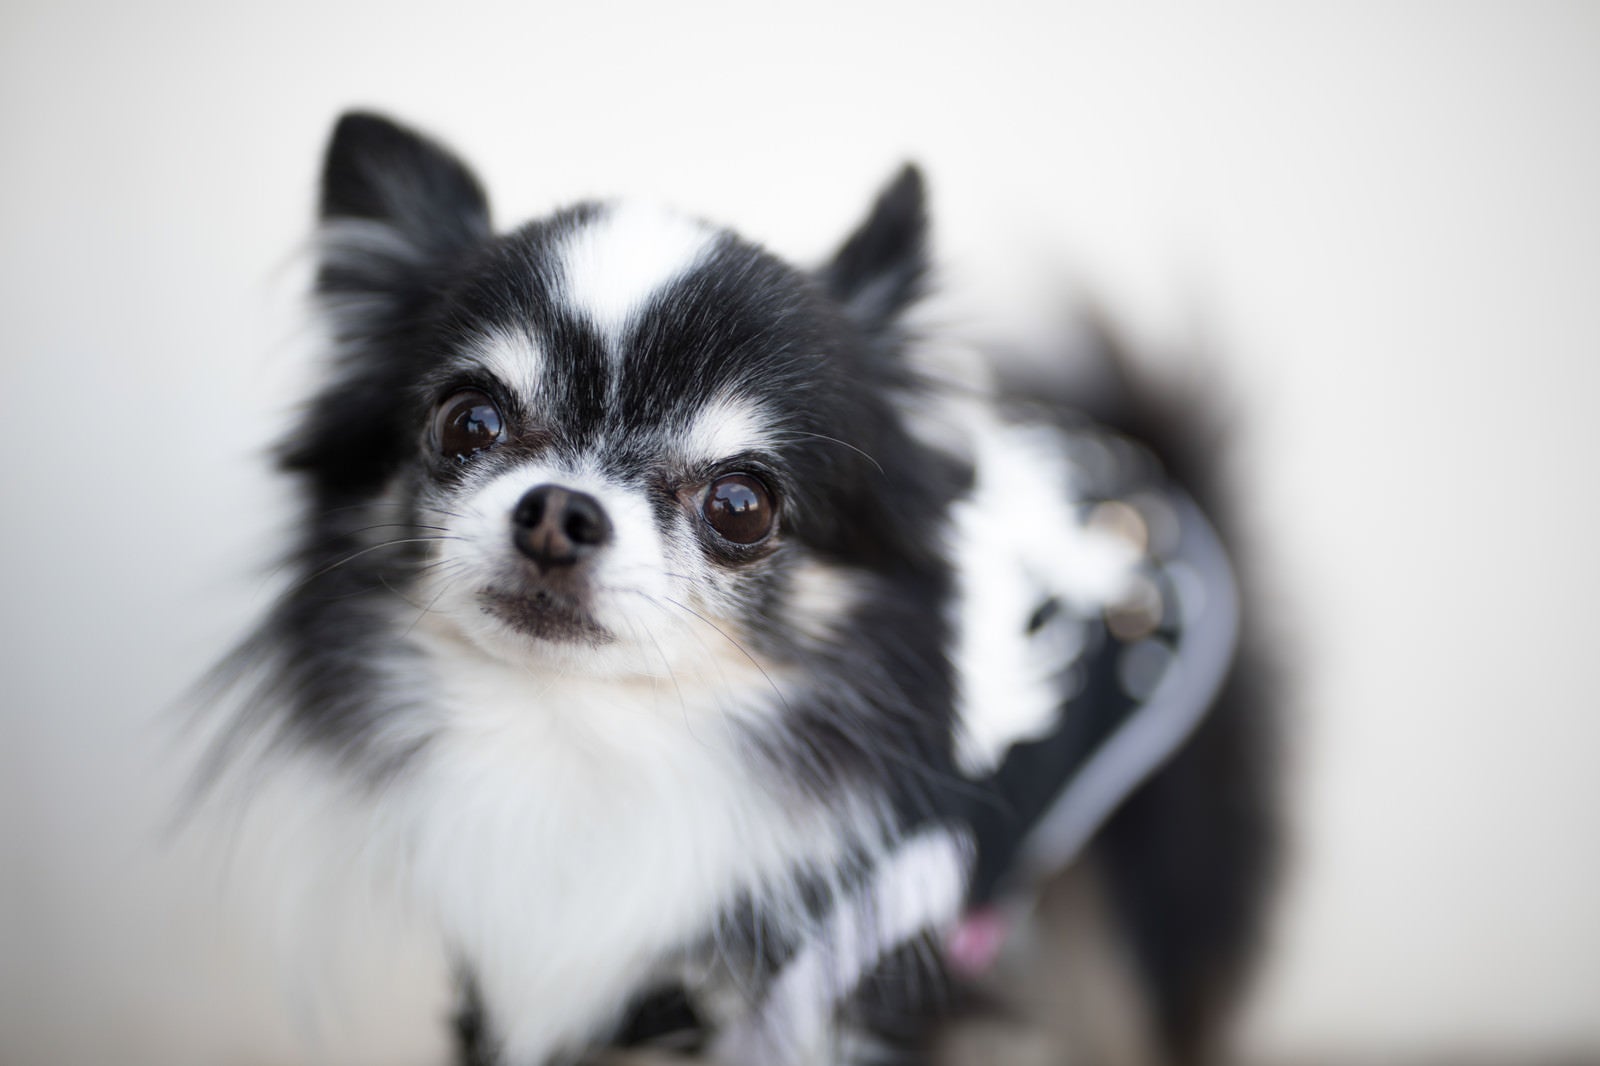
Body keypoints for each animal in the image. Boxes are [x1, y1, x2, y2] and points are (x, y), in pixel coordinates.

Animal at [200, 114, 1273, 1062]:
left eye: (743, 507)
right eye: (468, 423)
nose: (558, 511)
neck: (587, 745)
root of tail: (1136, 450)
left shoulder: (851, 983)